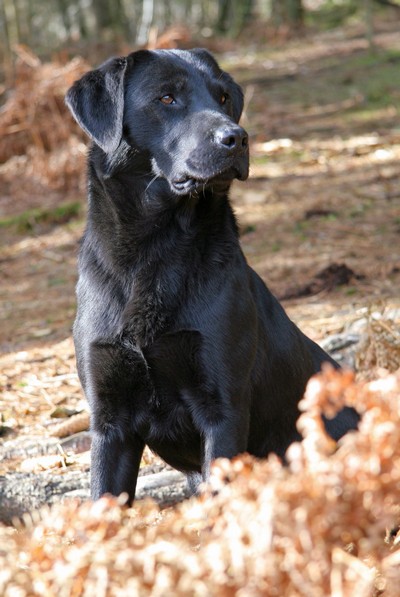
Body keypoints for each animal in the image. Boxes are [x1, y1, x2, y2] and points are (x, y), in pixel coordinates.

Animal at [66, 50, 360, 498]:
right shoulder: (109, 421)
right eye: (166, 98)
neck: (155, 251)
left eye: (223, 98)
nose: (237, 138)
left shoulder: (223, 408)